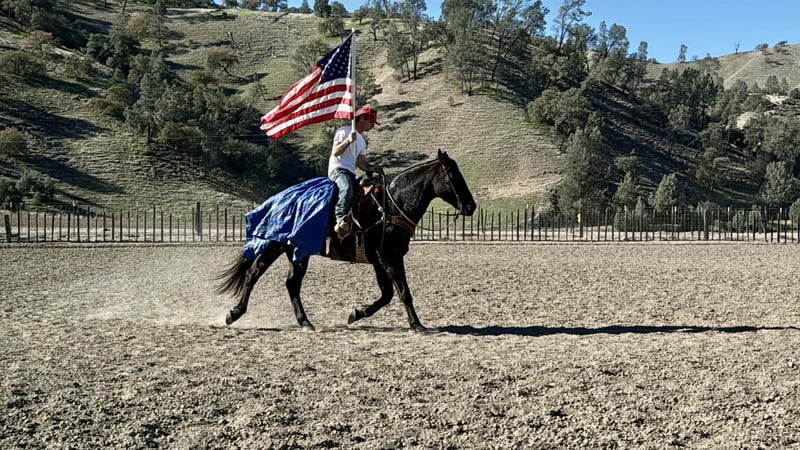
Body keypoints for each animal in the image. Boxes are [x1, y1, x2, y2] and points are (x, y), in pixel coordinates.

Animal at [215, 150, 477, 332]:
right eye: (455, 176)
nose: (471, 206)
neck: (393, 206)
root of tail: (277, 199)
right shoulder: (390, 258)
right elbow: (403, 292)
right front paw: (417, 325)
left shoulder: (379, 260)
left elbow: (387, 295)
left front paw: (356, 313)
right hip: (277, 245)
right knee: (255, 273)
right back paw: (234, 313)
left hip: (296, 252)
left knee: (289, 283)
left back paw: (304, 322)